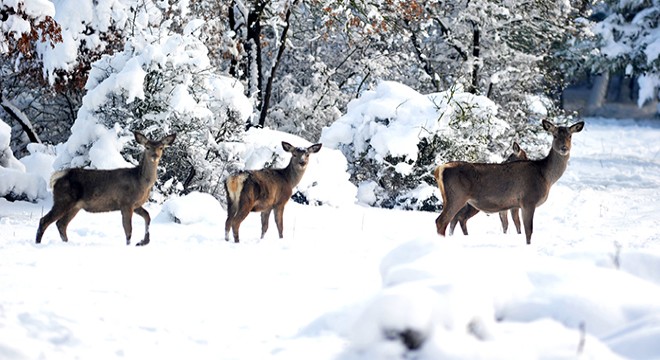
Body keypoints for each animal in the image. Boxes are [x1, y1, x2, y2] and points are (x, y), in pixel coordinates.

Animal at [35, 132, 175, 248]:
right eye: (147, 147)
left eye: (161, 147)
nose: (154, 156)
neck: (141, 182)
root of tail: (57, 177)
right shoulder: (126, 202)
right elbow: (128, 229)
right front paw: (130, 246)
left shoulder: (135, 205)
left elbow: (147, 216)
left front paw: (142, 242)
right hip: (63, 199)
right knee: (44, 221)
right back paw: (38, 245)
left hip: (75, 206)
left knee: (61, 224)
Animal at [436, 120, 584, 245]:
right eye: (554, 135)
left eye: (570, 136)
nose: (564, 148)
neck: (545, 176)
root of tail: (440, 169)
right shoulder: (528, 200)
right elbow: (528, 230)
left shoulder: (514, 205)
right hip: (456, 196)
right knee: (442, 221)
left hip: (453, 199)